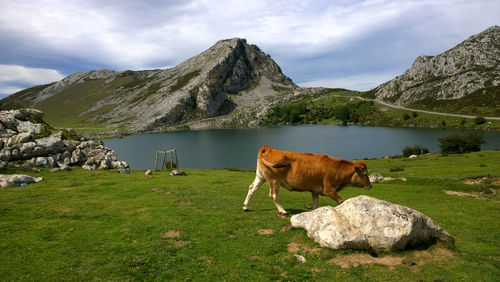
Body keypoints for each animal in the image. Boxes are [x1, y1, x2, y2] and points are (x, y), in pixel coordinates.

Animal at [242, 145, 372, 214]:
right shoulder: (329, 189)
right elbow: (341, 201)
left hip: (261, 176)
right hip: (274, 180)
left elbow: (315, 203)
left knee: (252, 188)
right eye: (365, 174)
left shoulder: (315, 191)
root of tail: (268, 148)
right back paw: (282, 210)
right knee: (273, 195)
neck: (337, 169)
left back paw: (245, 206)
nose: (370, 186)